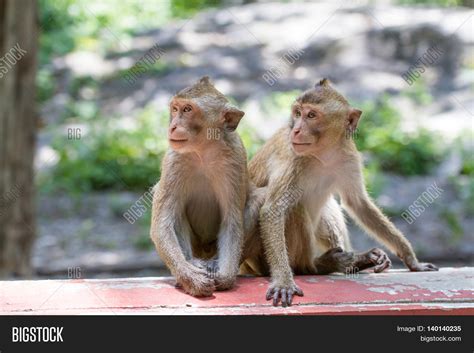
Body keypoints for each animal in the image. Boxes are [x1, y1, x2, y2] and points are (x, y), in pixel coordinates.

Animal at [150, 77, 262, 296]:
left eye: (187, 110)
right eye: (175, 109)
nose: (173, 126)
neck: (203, 151)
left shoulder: (235, 160)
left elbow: (232, 221)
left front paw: (226, 277)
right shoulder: (173, 159)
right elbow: (162, 223)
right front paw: (191, 278)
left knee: (257, 200)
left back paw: (214, 262)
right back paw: (192, 264)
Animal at [243, 77, 438, 306]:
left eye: (311, 115)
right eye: (298, 113)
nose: (296, 130)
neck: (323, 154)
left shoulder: (348, 157)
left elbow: (359, 204)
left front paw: (412, 261)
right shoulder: (291, 158)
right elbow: (273, 210)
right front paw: (283, 282)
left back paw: (357, 260)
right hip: (260, 260)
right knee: (295, 207)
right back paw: (318, 266)